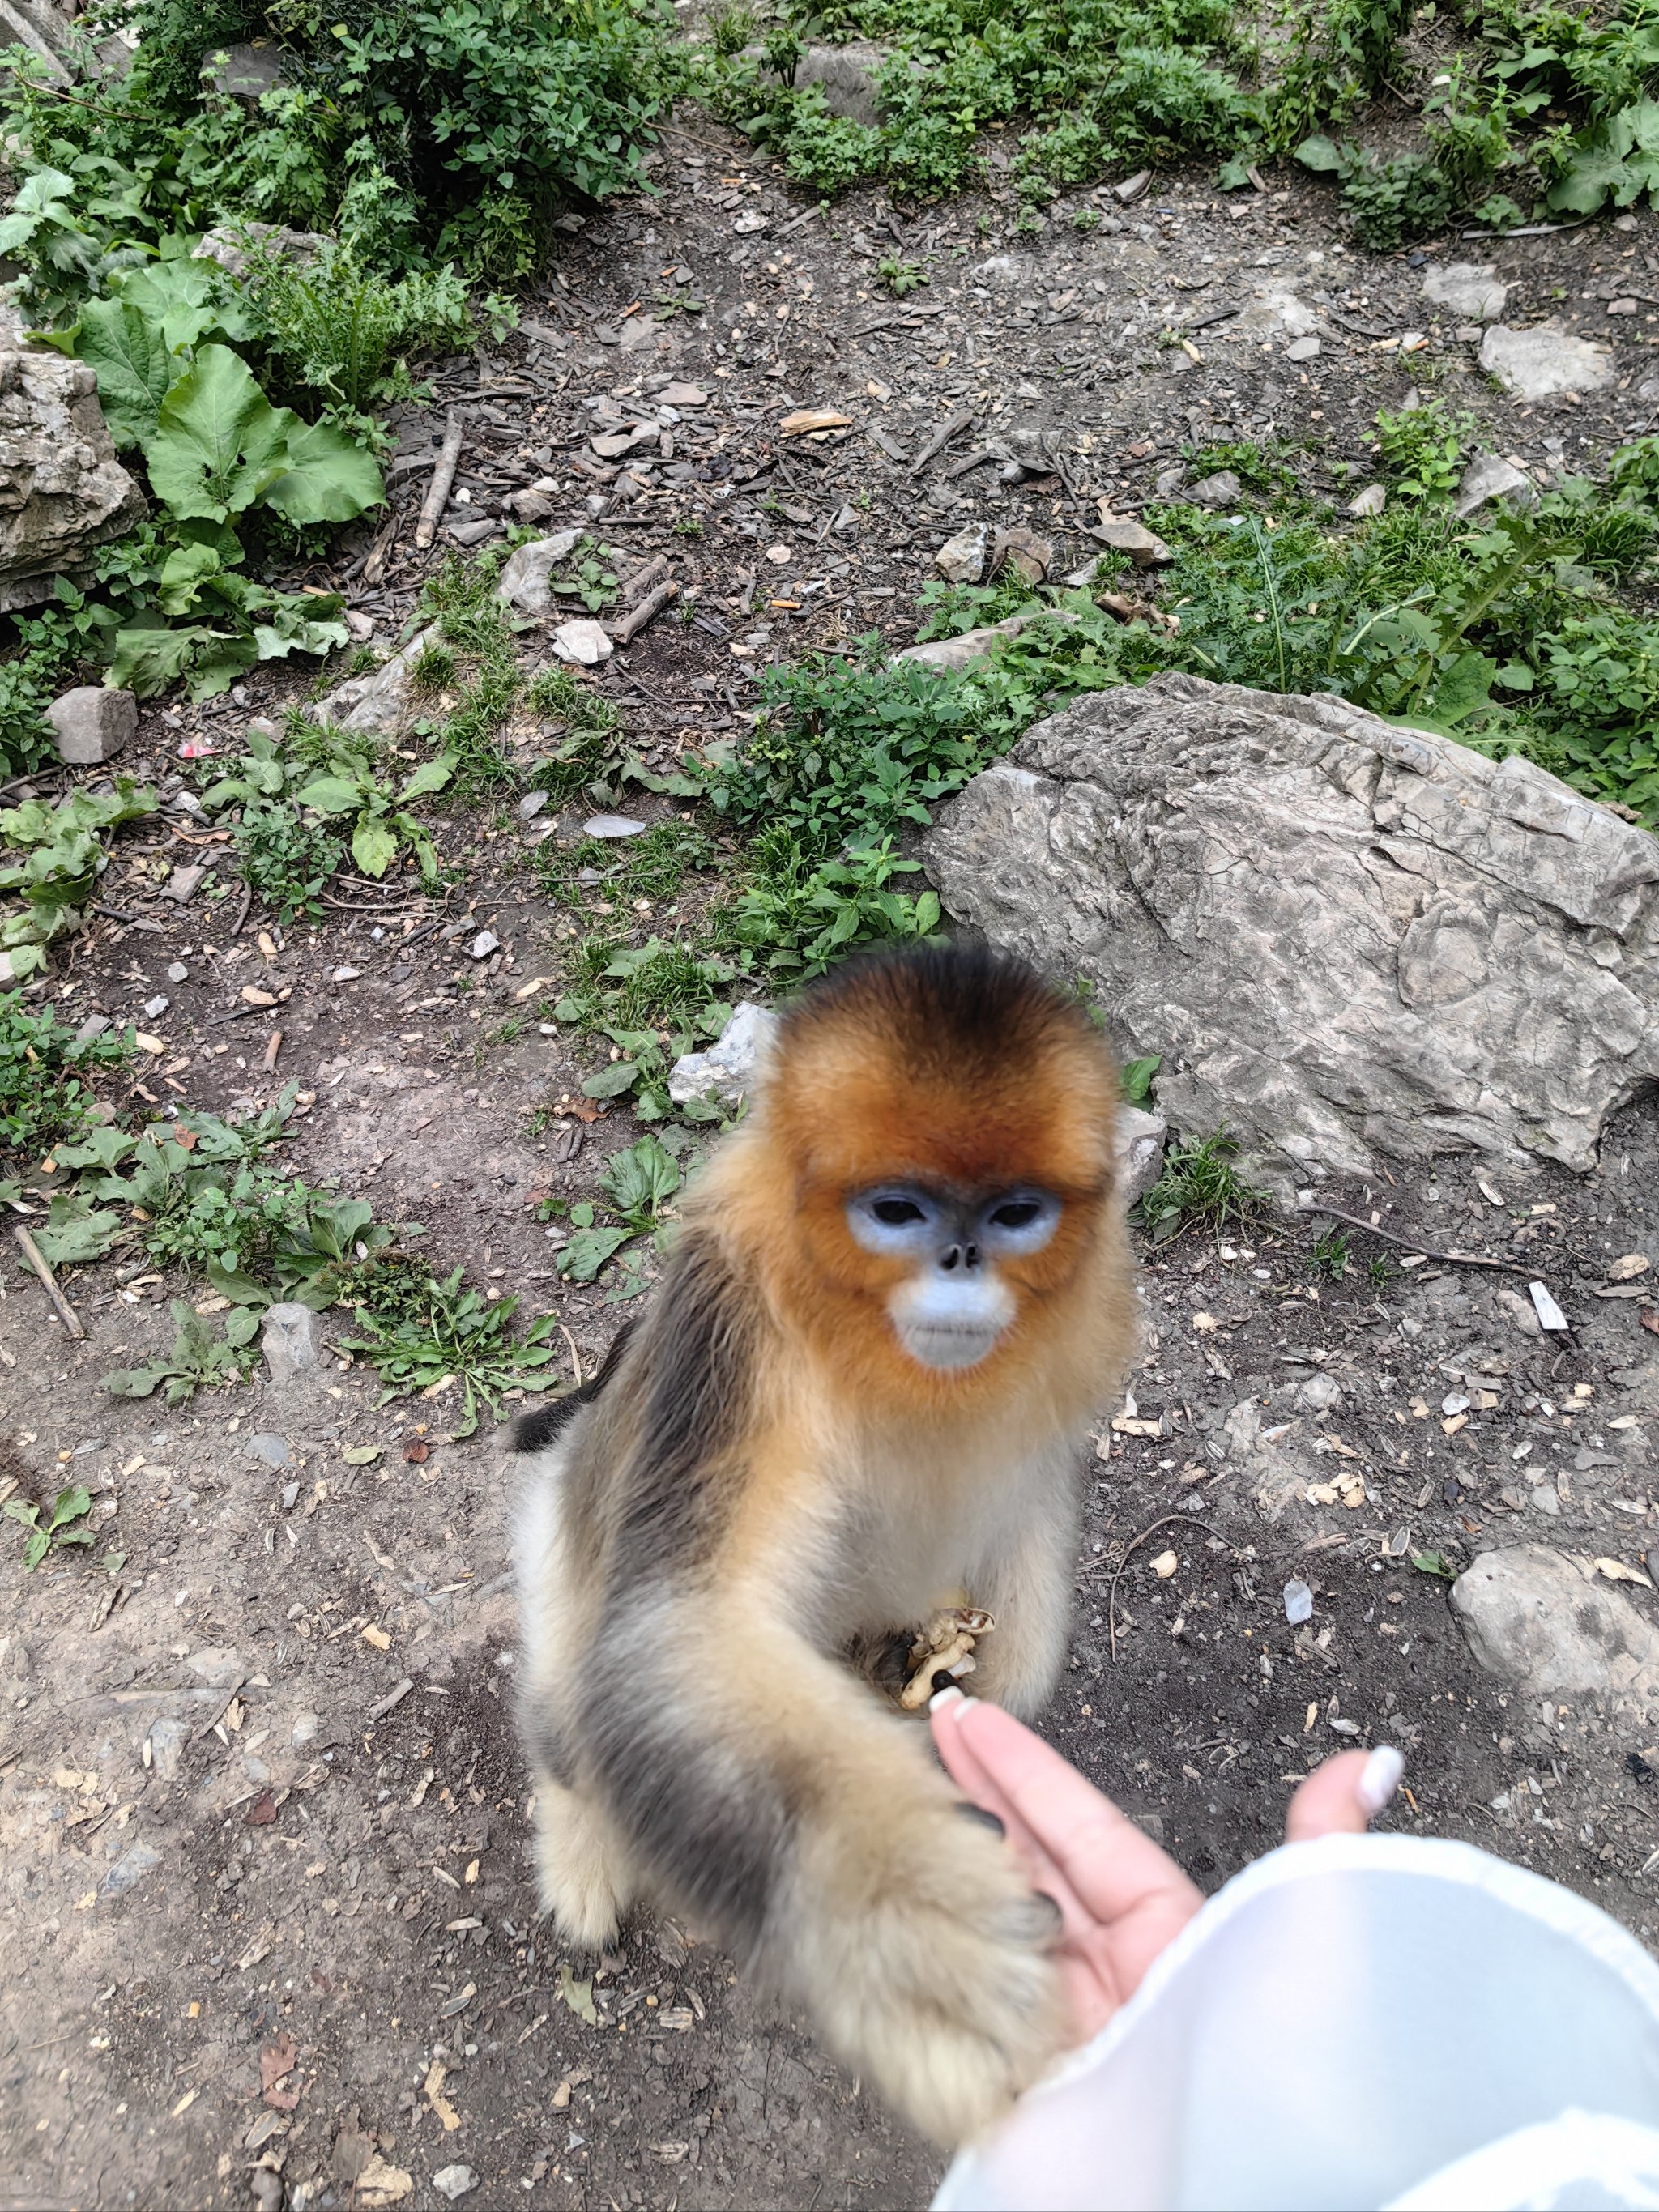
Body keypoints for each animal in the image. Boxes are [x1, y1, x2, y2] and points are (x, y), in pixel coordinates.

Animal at [513, 946, 1141, 2141]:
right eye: (897, 1210)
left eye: (1015, 1213)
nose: (960, 1256)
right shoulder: (736, 1325)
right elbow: (677, 1632)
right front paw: (902, 1918)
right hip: (550, 1554)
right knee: (571, 1711)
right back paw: (580, 1841)